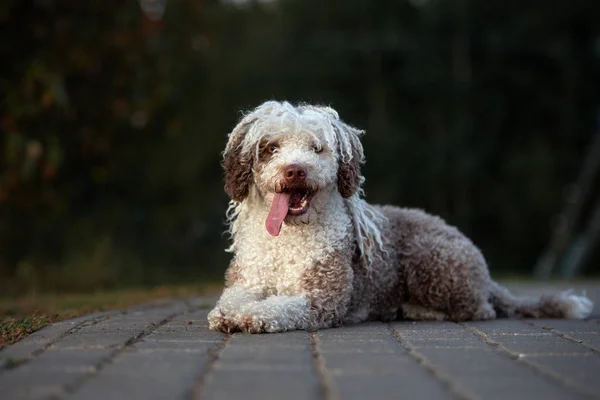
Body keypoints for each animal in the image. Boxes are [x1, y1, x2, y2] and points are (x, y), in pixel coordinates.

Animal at [207, 101, 596, 334]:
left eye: (317, 148)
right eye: (270, 148)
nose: (294, 170)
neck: (287, 237)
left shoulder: (321, 299)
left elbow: (282, 307)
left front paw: (252, 317)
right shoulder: (247, 282)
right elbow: (230, 300)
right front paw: (228, 314)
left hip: (431, 259)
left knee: (479, 309)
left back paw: (419, 310)